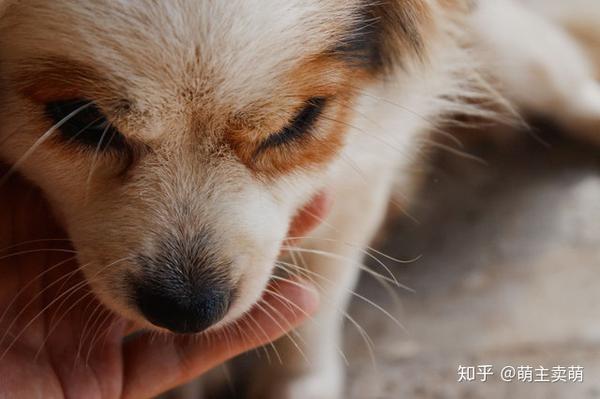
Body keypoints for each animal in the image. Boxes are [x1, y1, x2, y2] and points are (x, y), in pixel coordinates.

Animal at [0, 0, 596, 399]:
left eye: (297, 123)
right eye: (80, 120)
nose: (189, 310)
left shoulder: (358, 178)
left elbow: (315, 310)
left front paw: (298, 380)